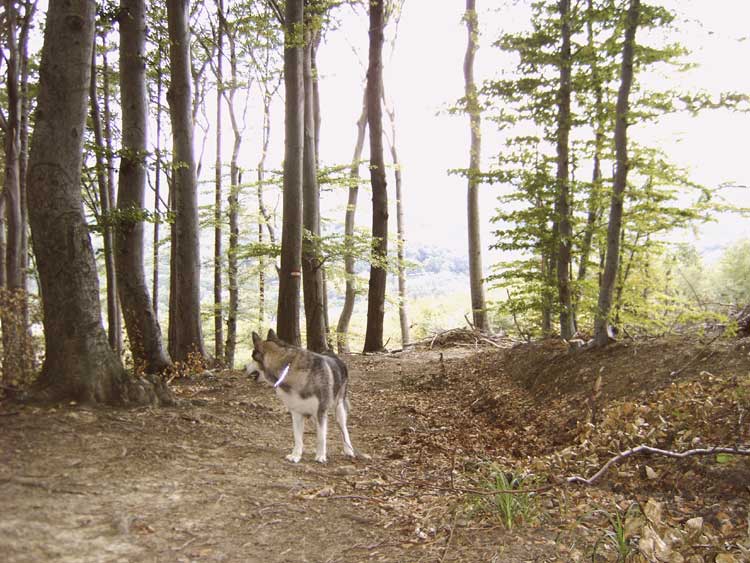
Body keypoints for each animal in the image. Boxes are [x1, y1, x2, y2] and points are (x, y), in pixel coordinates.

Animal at [247, 328, 362, 464]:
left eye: (252, 358)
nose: (244, 367)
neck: (288, 368)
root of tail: (332, 354)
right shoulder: (296, 413)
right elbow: (298, 438)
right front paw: (296, 455)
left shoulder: (321, 411)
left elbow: (321, 437)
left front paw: (320, 456)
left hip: (339, 409)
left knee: (343, 429)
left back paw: (348, 450)